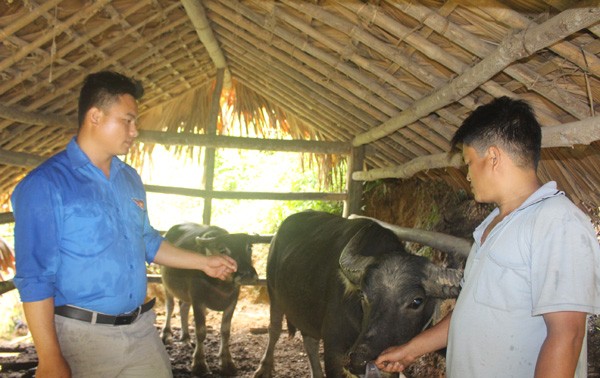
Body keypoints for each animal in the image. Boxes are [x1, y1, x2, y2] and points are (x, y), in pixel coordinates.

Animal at [162, 223, 260, 376]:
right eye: (223, 250)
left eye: (249, 247)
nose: (247, 274)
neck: (221, 286)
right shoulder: (198, 300)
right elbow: (201, 332)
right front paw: (199, 364)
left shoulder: (232, 302)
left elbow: (225, 332)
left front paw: (227, 362)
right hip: (166, 284)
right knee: (170, 305)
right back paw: (167, 335)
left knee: (183, 307)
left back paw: (185, 337)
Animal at [251, 211, 462, 376]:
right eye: (363, 296)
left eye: (417, 302)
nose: (360, 360)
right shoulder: (334, 350)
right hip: (273, 291)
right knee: (274, 329)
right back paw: (263, 368)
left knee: (309, 341)